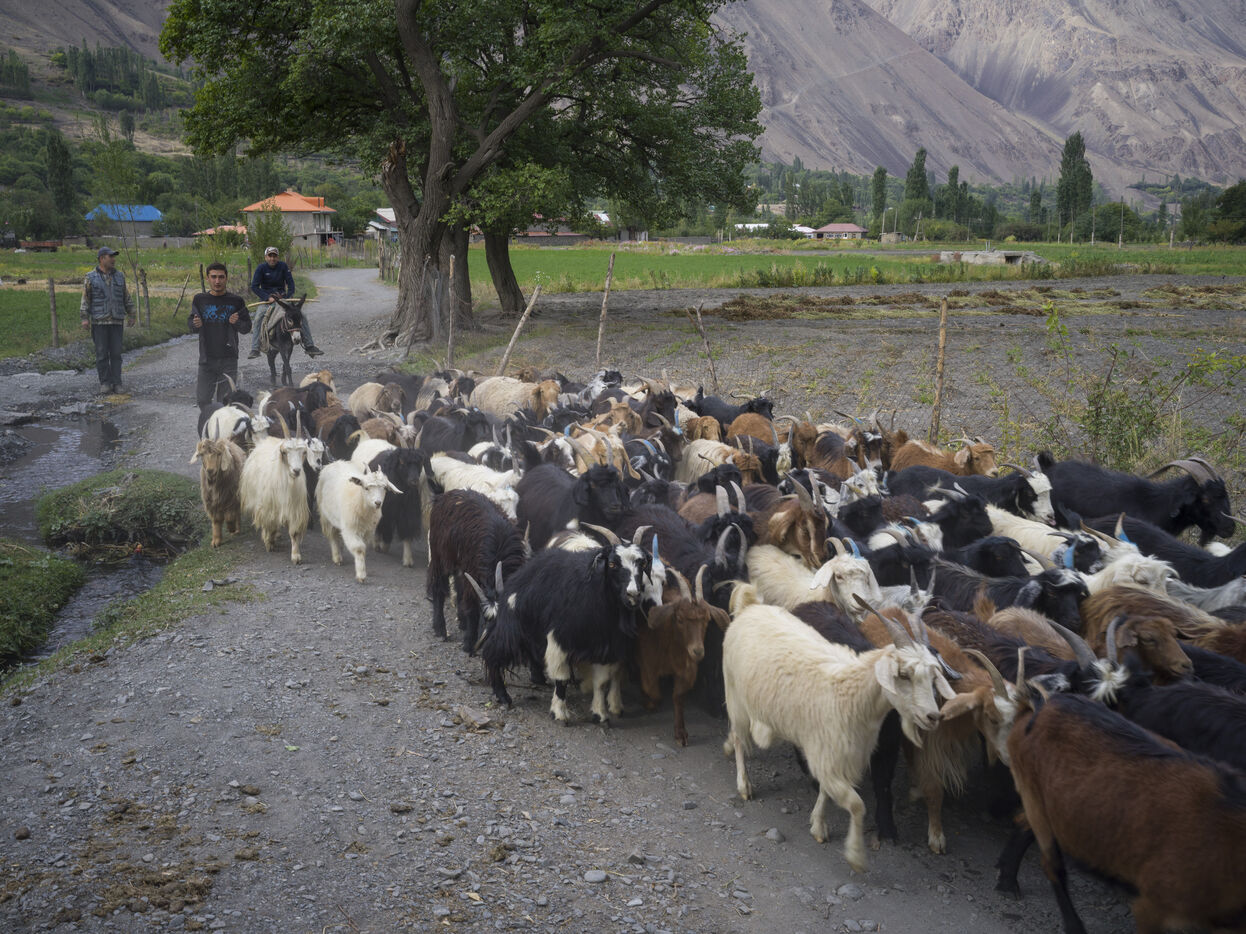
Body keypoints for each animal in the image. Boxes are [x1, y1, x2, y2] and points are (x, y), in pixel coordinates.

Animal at [722, 584, 953, 871]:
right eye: (903, 674)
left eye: (934, 676)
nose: (933, 716)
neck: (852, 691)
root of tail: (750, 607)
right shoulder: (828, 755)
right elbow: (856, 805)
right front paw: (855, 855)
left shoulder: (837, 755)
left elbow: (827, 792)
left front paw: (818, 825)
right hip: (735, 695)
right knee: (739, 738)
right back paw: (744, 784)